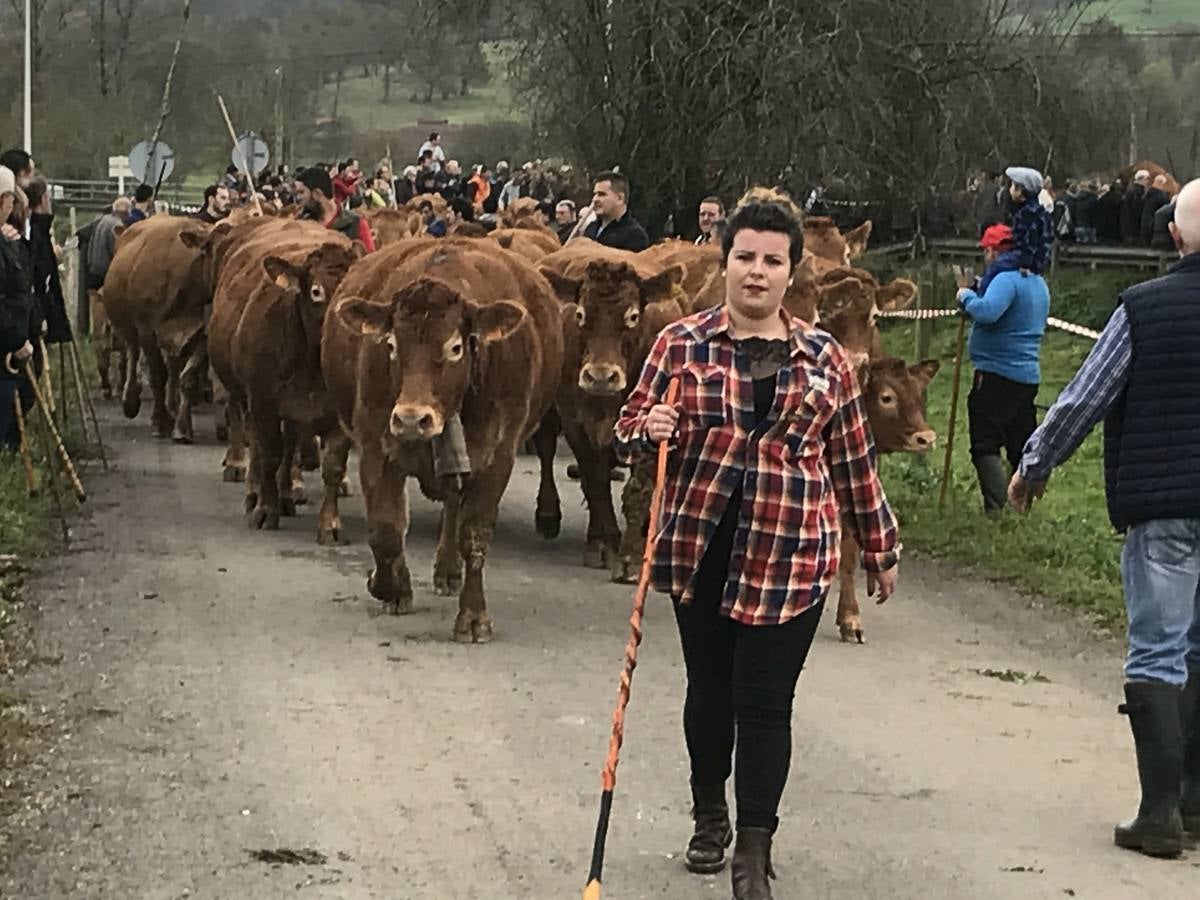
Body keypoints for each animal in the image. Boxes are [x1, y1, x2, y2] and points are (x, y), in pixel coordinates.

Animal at [206, 220, 360, 540]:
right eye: (316, 292)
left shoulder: (339, 414)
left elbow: (332, 466)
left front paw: (330, 524)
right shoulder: (263, 403)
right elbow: (269, 454)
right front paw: (266, 509)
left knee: (290, 445)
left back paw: (287, 494)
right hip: (245, 397)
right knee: (254, 439)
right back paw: (254, 491)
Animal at [319, 240, 561, 643]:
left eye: (455, 348)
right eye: (390, 345)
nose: (411, 419)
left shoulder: (498, 456)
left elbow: (474, 532)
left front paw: (474, 616)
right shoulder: (375, 448)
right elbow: (386, 531)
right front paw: (388, 586)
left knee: (453, 509)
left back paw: (449, 570)